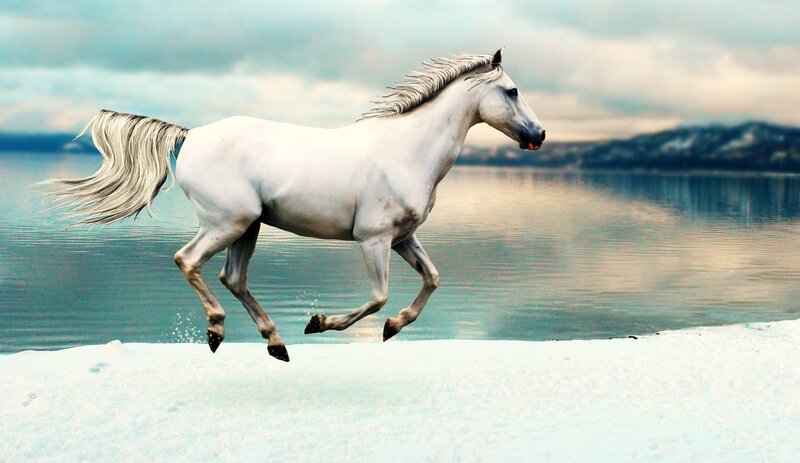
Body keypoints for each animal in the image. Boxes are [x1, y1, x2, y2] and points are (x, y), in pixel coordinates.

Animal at [42, 48, 546, 362]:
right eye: (513, 91)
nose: (539, 134)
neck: (408, 151)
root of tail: (190, 134)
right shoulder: (374, 240)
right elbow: (378, 297)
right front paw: (320, 322)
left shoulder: (403, 238)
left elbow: (432, 279)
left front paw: (393, 326)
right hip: (228, 223)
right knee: (188, 260)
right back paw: (218, 331)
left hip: (248, 227)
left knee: (233, 278)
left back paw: (276, 344)